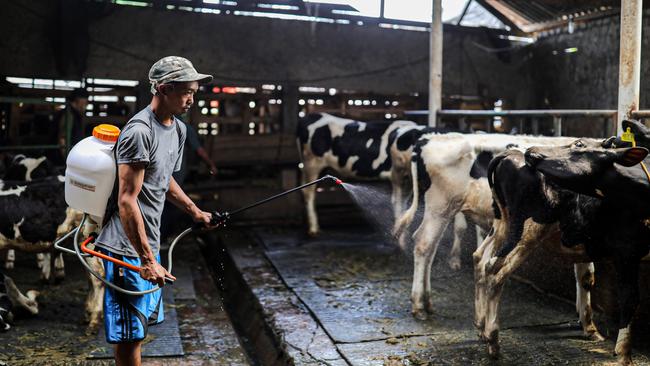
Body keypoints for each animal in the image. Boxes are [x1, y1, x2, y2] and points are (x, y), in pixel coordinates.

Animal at [392, 133, 576, 318]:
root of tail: (428, 138)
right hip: (439, 206)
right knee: (423, 243)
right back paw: (419, 305)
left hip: (443, 211)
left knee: (431, 247)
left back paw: (427, 302)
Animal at [474, 138, 644, 366]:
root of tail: (509, 154)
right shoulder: (628, 250)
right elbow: (630, 297)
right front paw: (623, 354)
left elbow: (586, 278)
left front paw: (590, 329)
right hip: (527, 231)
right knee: (496, 271)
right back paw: (493, 342)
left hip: (501, 223)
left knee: (481, 259)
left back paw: (481, 328)